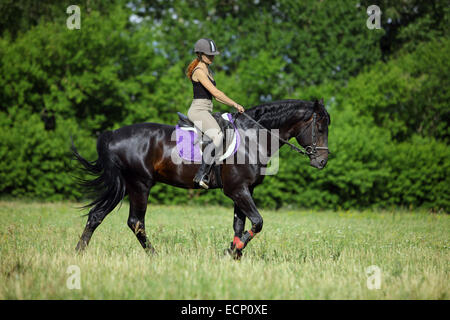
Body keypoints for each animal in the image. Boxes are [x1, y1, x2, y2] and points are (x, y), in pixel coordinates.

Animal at [71, 99, 330, 258]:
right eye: (319, 127)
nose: (322, 162)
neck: (252, 138)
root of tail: (113, 134)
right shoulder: (237, 190)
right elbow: (257, 222)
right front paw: (232, 252)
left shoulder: (244, 190)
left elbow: (239, 225)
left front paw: (234, 253)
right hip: (139, 185)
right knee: (136, 222)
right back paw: (155, 256)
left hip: (124, 186)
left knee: (96, 215)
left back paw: (78, 252)